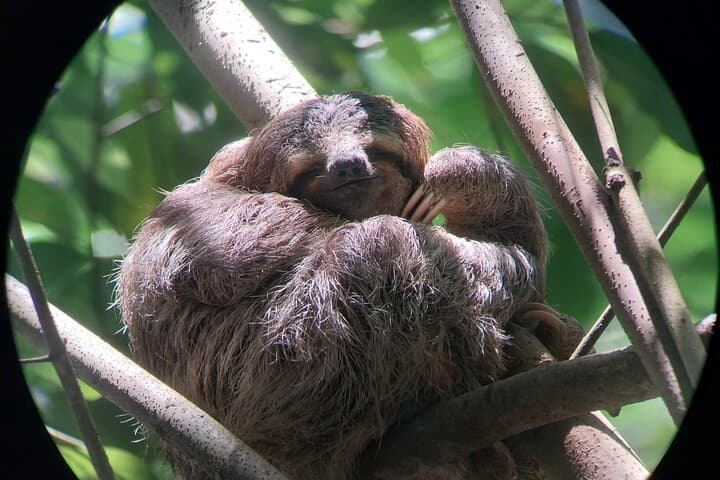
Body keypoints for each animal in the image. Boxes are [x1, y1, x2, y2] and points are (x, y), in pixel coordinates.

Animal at [116, 92, 558, 479]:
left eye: (375, 148)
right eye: (312, 164)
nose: (348, 164)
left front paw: (463, 173)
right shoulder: (200, 209)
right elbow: (229, 243)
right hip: (278, 376)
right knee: (378, 247)